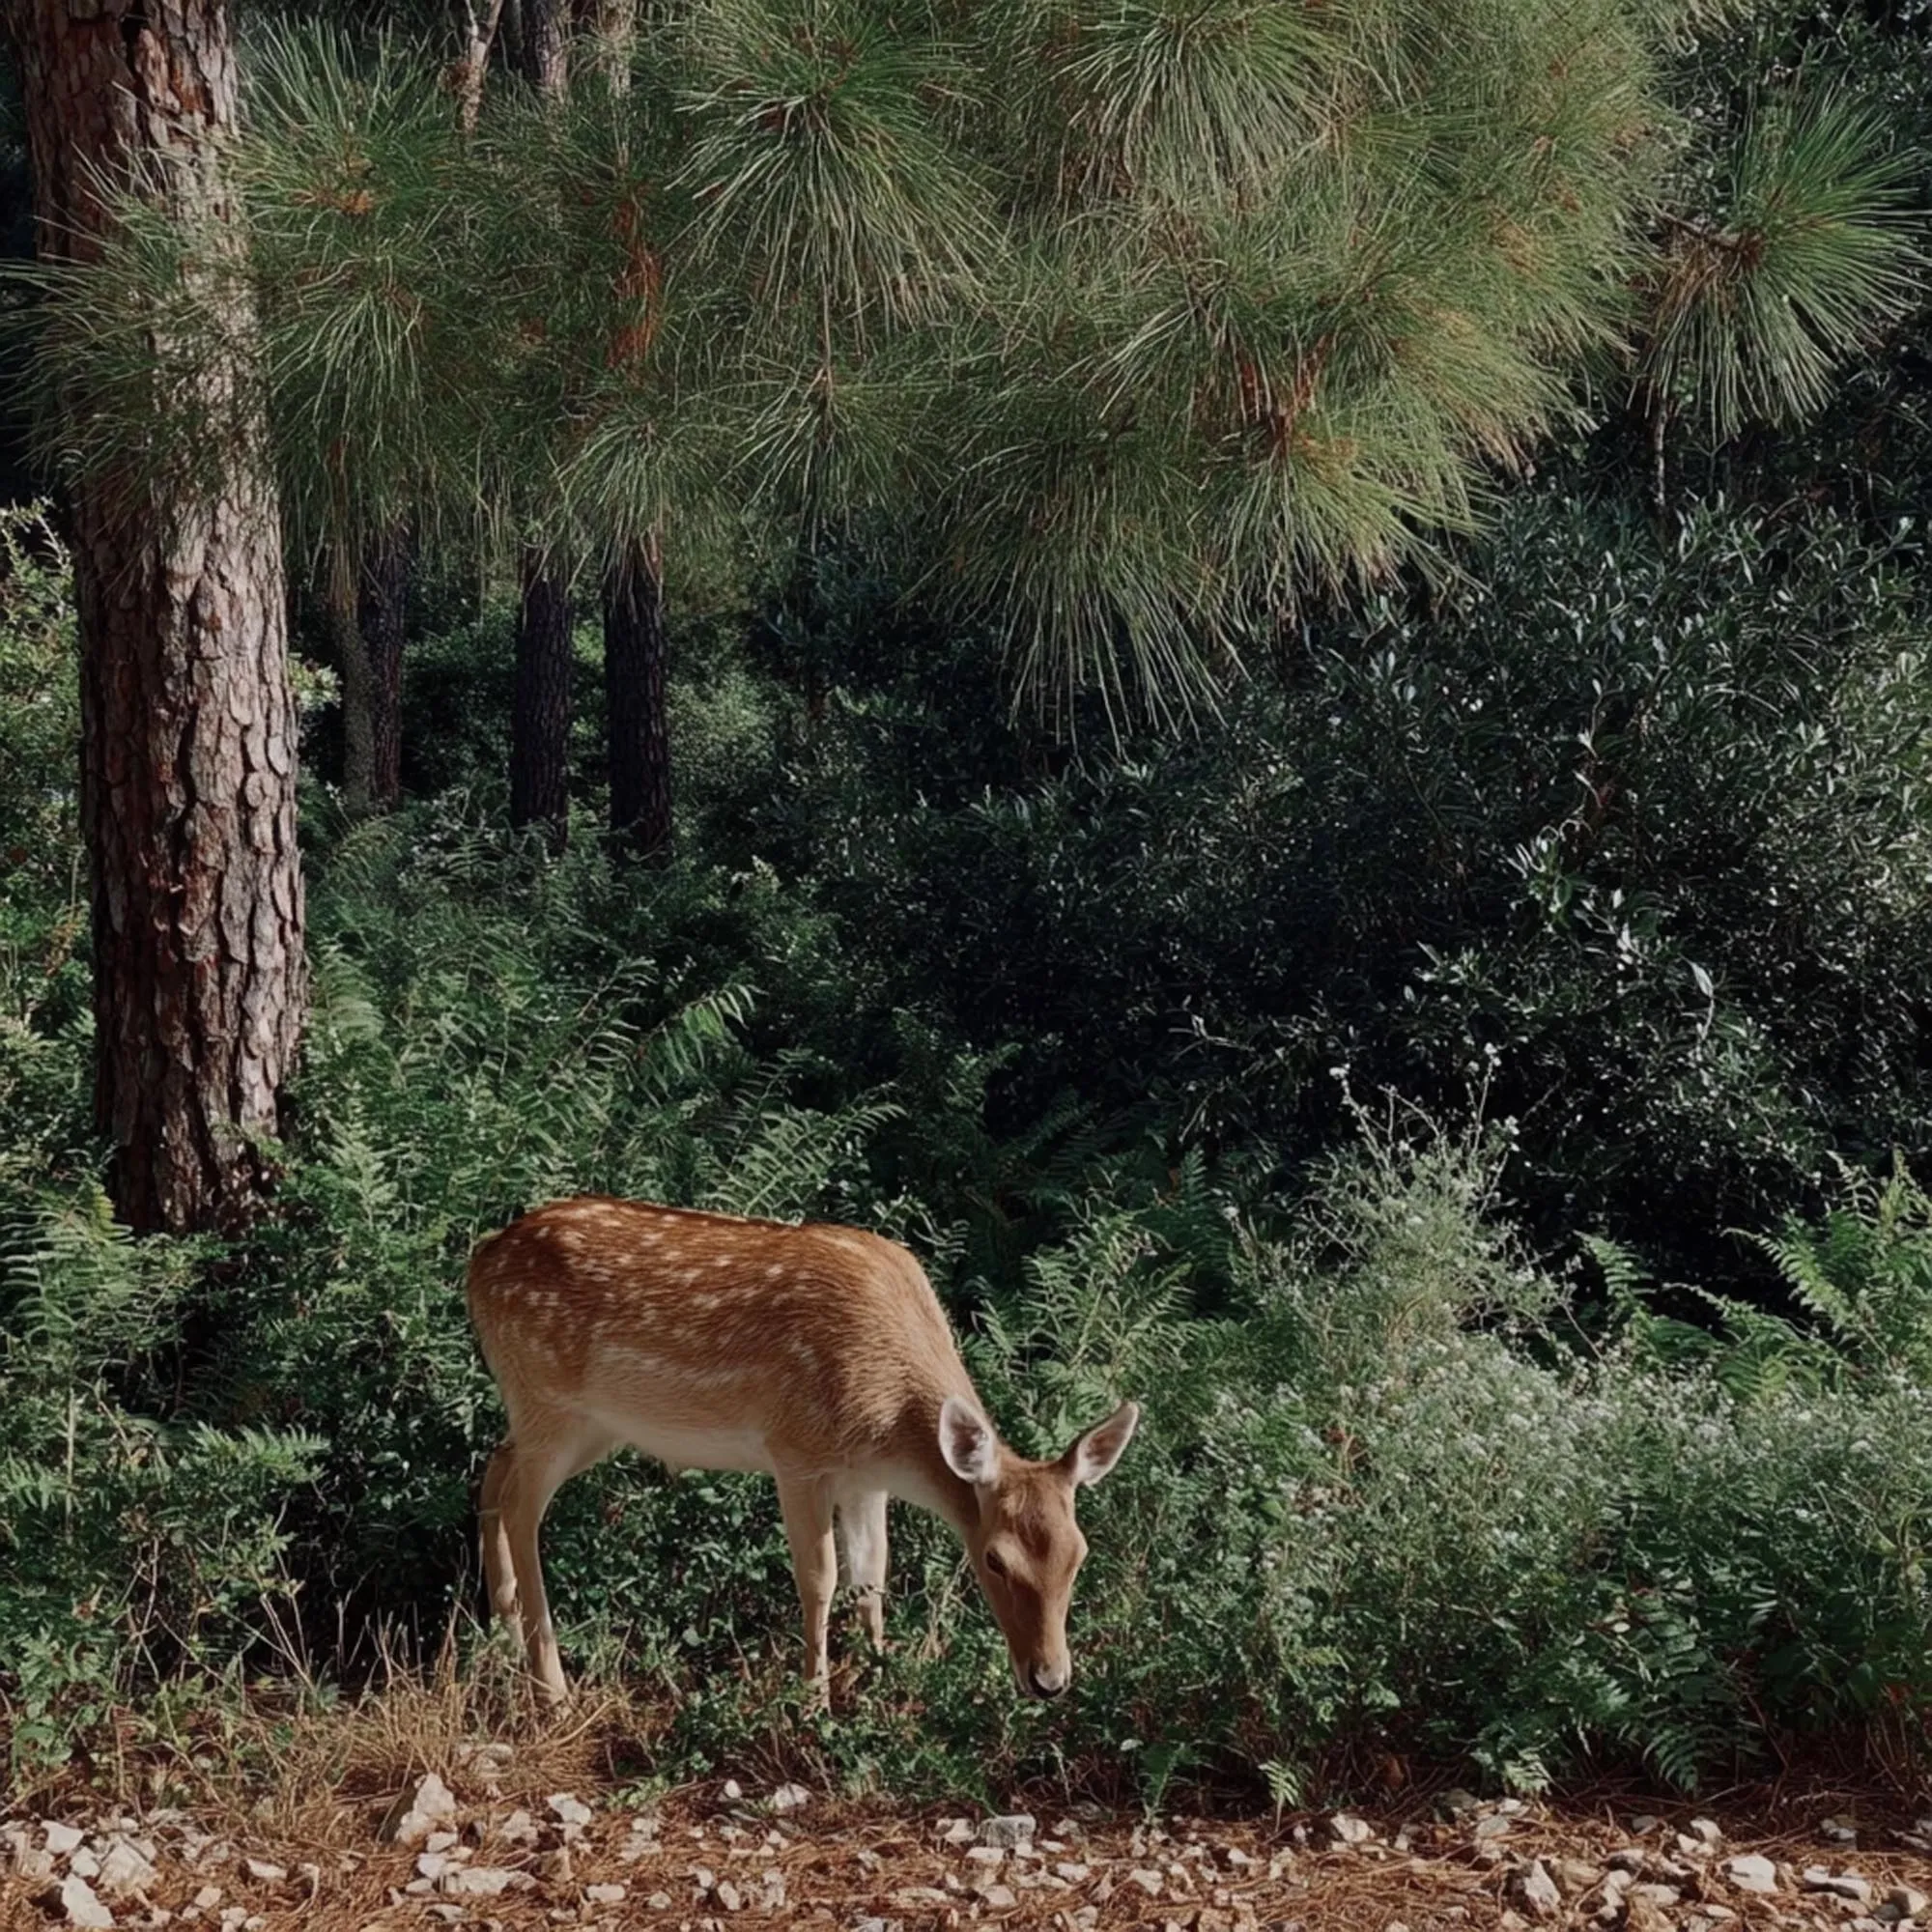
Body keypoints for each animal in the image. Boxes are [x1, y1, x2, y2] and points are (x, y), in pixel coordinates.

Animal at [466, 1195, 1140, 1709]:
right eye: (995, 1559)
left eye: (1079, 1554)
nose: (1050, 1680)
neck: (889, 1421)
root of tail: (479, 1259)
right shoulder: (796, 1451)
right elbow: (821, 1577)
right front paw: (813, 1700)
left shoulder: (866, 1478)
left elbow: (872, 1575)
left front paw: (878, 1676)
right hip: (550, 1399)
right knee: (523, 1510)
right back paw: (550, 1686)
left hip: (584, 1424)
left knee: (494, 1471)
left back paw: (500, 1636)